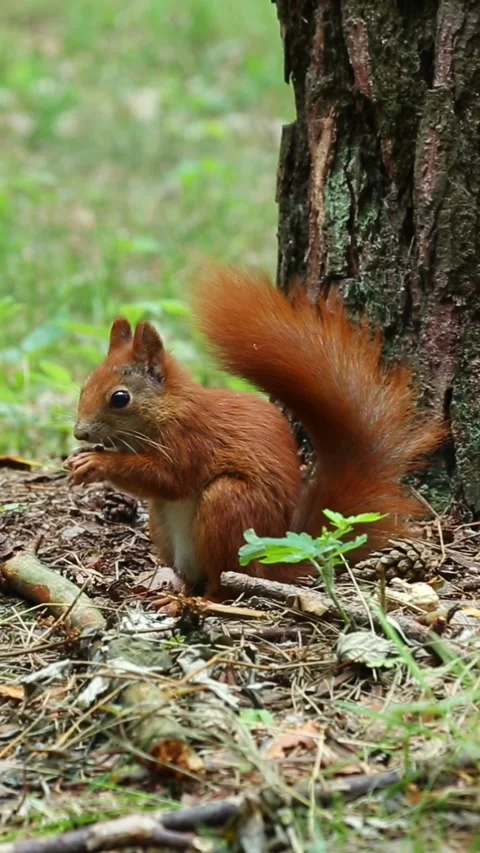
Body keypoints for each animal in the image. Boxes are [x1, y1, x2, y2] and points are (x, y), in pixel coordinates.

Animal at [67, 265, 443, 598]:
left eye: (120, 398)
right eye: (85, 384)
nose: (80, 433)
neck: (165, 410)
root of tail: (268, 563)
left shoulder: (191, 439)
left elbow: (171, 478)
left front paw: (97, 464)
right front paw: (80, 458)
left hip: (228, 504)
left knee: (223, 583)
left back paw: (199, 601)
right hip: (164, 528)